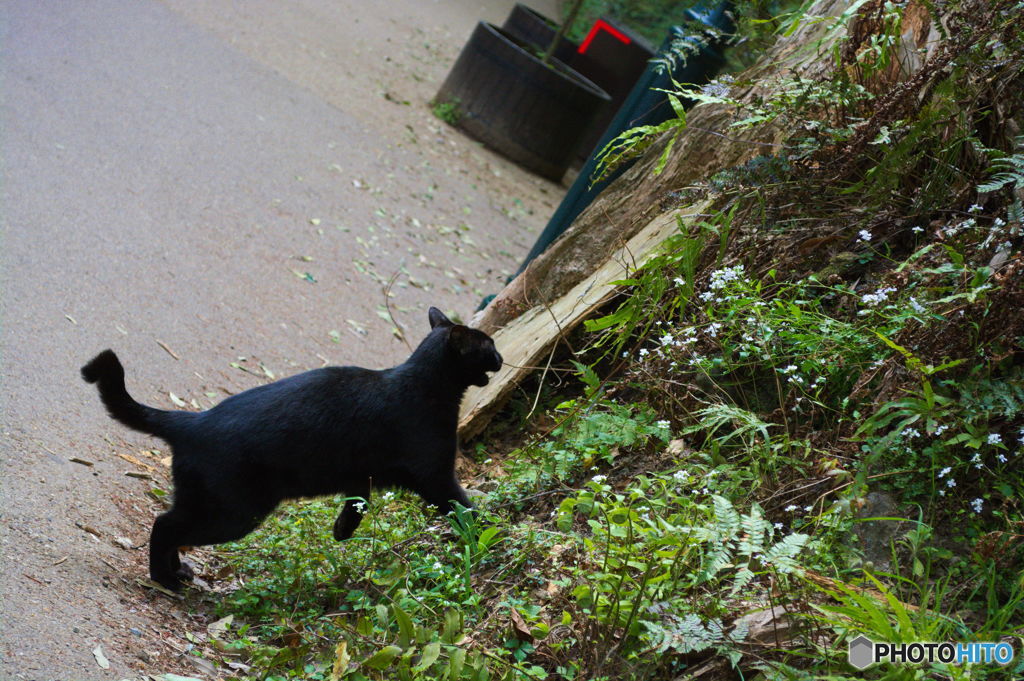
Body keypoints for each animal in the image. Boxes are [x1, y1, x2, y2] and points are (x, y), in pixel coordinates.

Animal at [83, 307, 503, 589]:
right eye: (490, 345)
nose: (500, 358)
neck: (423, 384)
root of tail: (193, 420)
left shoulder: (359, 472)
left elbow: (358, 503)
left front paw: (342, 531)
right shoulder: (435, 475)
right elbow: (463, 508)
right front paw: (490, 534)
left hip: (207, 503)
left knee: (170, 522)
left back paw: (177, 572)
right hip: (235, 513)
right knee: (165, 525)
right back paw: (165, 579)